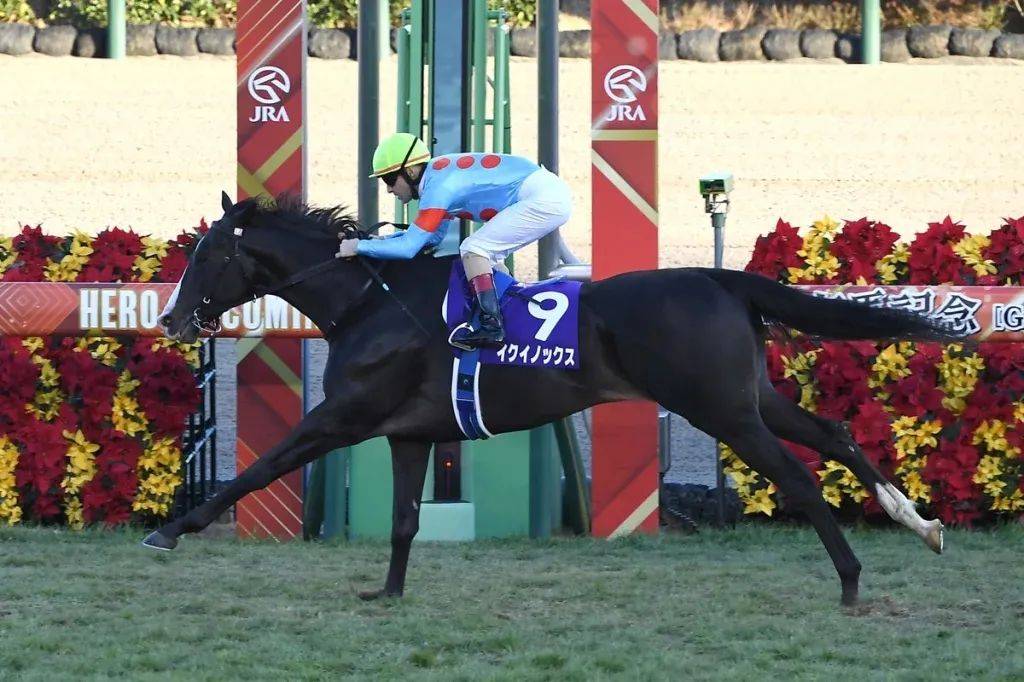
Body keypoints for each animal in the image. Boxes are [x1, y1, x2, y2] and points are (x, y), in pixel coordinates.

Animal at [146, 192, 962, 606]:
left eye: (207, 255)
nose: (173, 319)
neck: (366, 302)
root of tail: (718, 277)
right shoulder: (406, 433)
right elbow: (406, 519)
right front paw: (388, 593)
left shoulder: (344, 417)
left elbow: (260, 469)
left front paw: (172, 531)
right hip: (750, 396)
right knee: (834, 434)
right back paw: (919, 525)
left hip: (721, 409)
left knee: (796, 475)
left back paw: (852, 580)